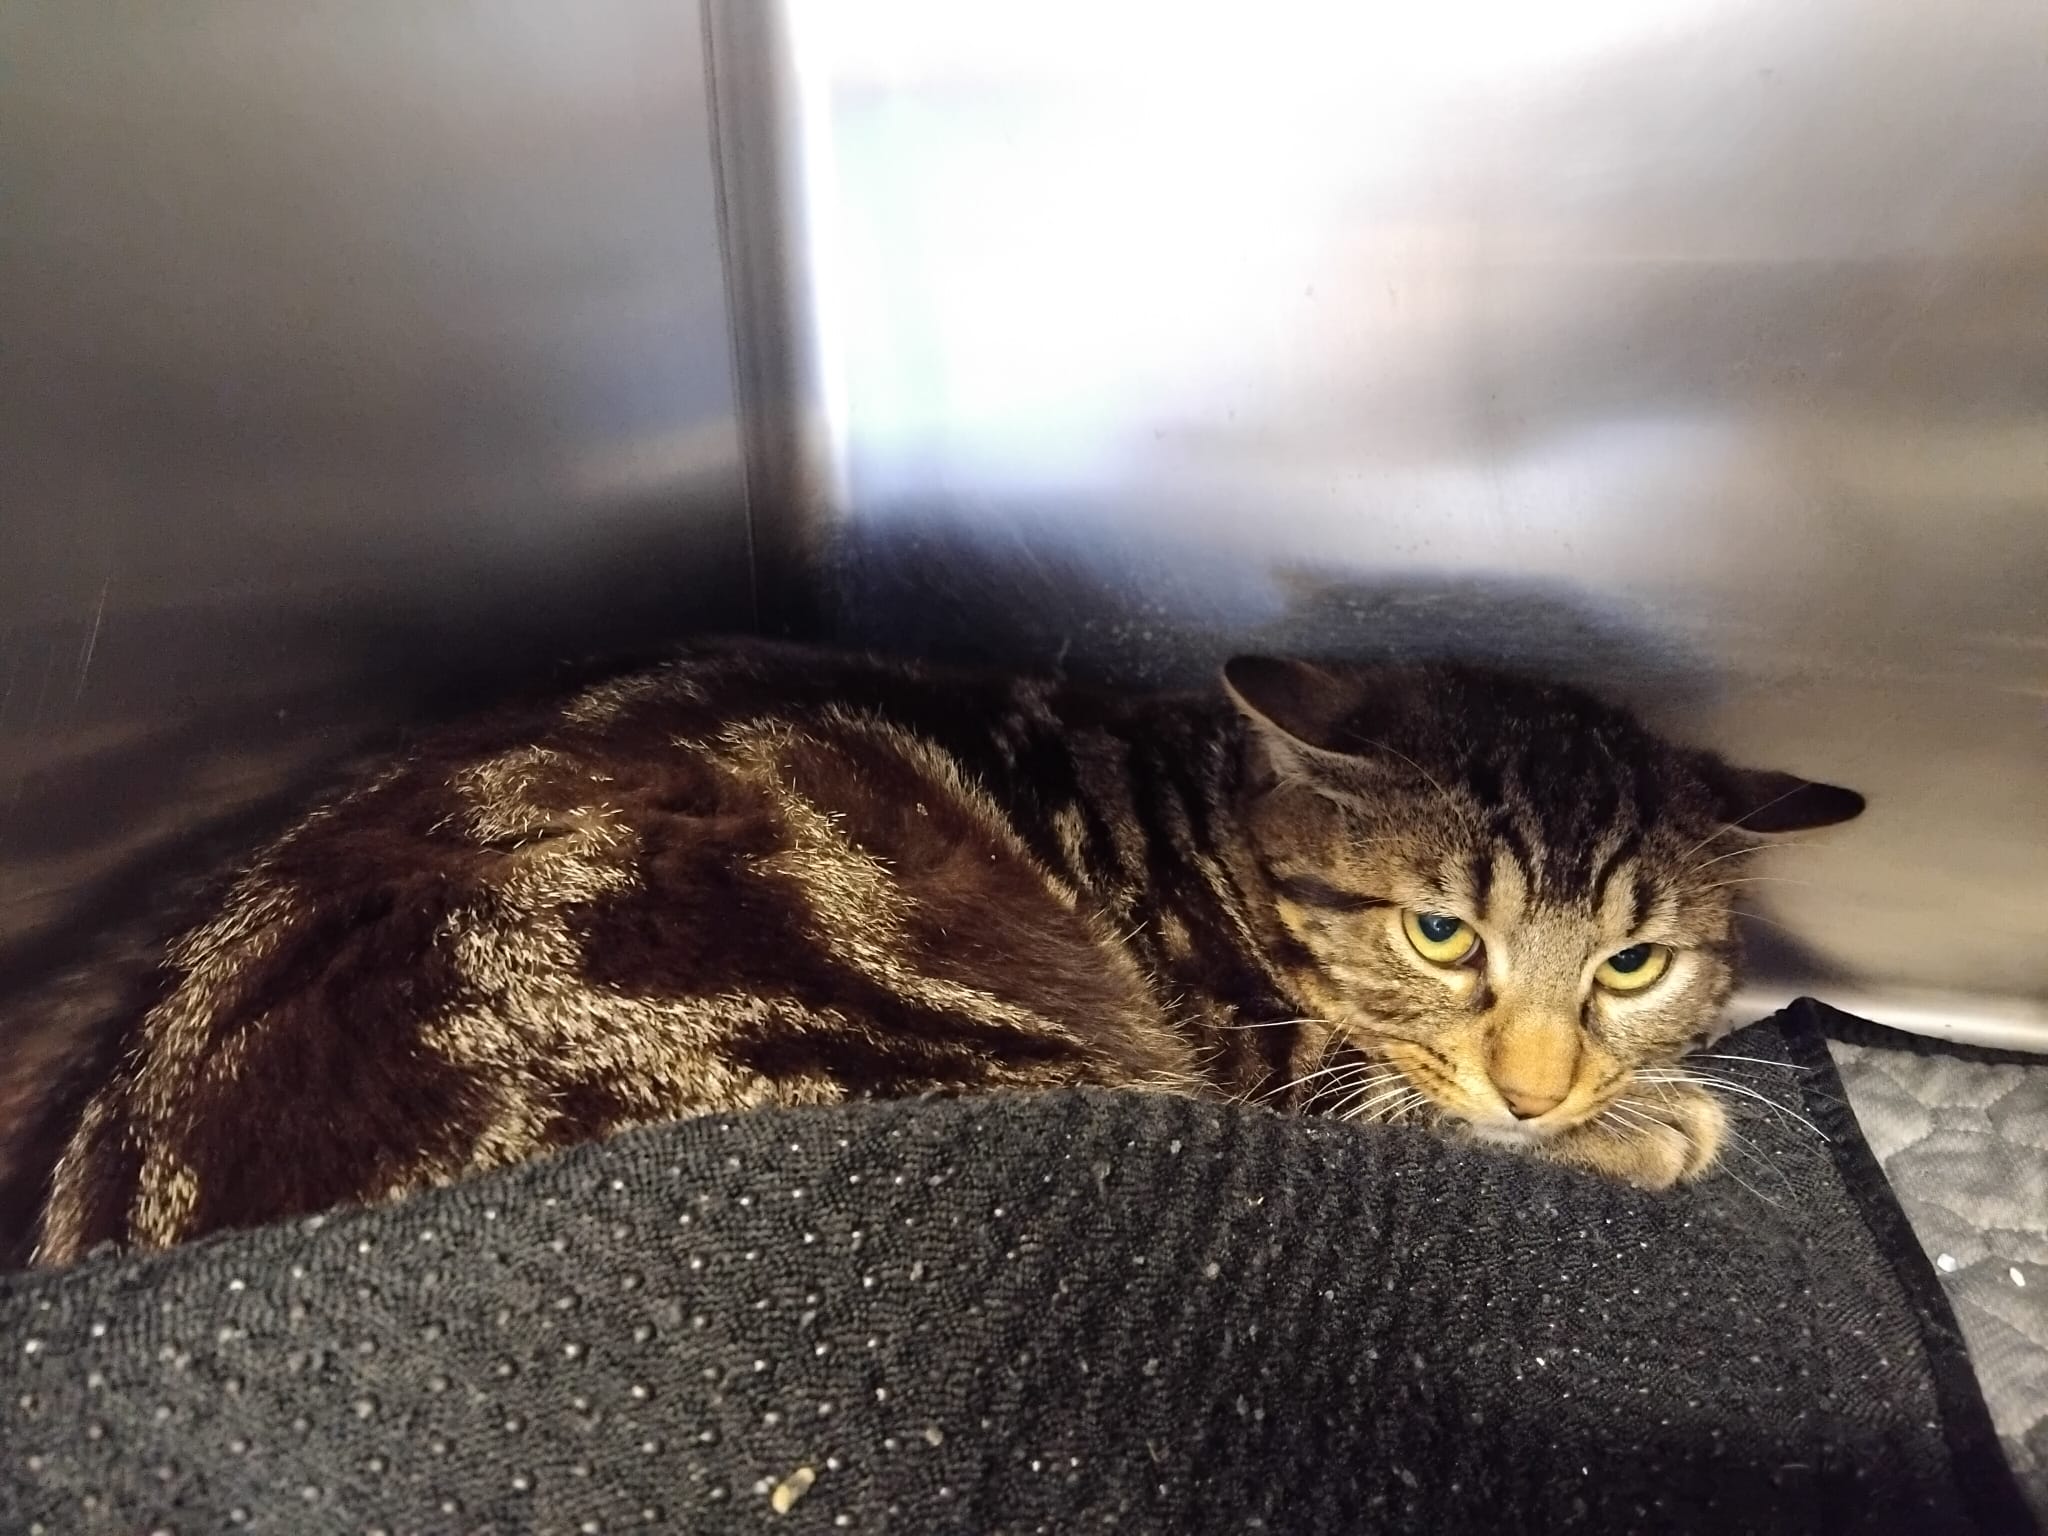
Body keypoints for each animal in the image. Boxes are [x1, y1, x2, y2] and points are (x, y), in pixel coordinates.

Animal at [28, 640, 1863, 1265]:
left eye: (1629, 966)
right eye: (1439, 931)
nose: (1546, 1081)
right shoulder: (1295, 1083)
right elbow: (1412, 1112)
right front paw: (1649, 1124)